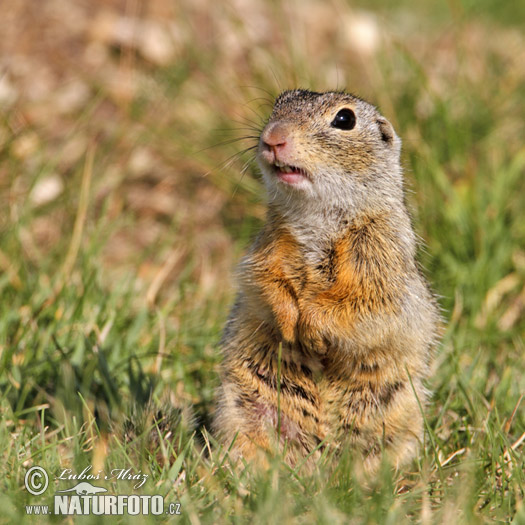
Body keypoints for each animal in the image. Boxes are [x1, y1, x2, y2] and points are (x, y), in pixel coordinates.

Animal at [213, 90, 438, 470]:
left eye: (345, 119)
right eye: (279, 102)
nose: (273, 137)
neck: (315, 217)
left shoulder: (380, 254)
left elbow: (363, 305)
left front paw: (312, 330)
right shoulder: (268, 246)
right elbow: (266, 280)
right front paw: (289, 323)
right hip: (243, 409)